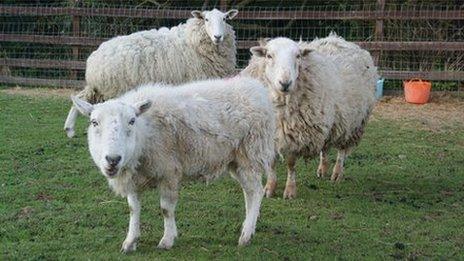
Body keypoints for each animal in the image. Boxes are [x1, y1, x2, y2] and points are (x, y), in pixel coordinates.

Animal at [64, 8, 239, 138]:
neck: (194, 41)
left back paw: (69, 129)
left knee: (80, 98)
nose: (218, 36)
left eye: (225, 19)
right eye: (206, 19)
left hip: (98, 87)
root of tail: (95, 58)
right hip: (115, 87)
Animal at [70, 75, 278, 252]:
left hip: (251, 153)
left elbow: (166, 209)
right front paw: (130, 241)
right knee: (249, 192)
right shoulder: (135, 177)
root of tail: (256, 87)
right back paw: (248, 227)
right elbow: (133, 209)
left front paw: (167, 240)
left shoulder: (168, 171)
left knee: (256, 192)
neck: (145, 133)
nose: (113, 159)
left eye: (131, 121)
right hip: (236, 160)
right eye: (94, 122)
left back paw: (246, 234)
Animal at [241, 36, 378, 197]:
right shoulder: (271, 134)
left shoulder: (296, 135)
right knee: (325, 148)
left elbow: (291, 164)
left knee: (342, 151)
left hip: (352, 122)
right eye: (269, 56)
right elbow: (272, 164)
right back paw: (322, 169)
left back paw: (337, 173)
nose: (285, 83)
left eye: (298, 56)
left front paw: (290, 190)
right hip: (328, 121)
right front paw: (269, 188)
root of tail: (343, 41)